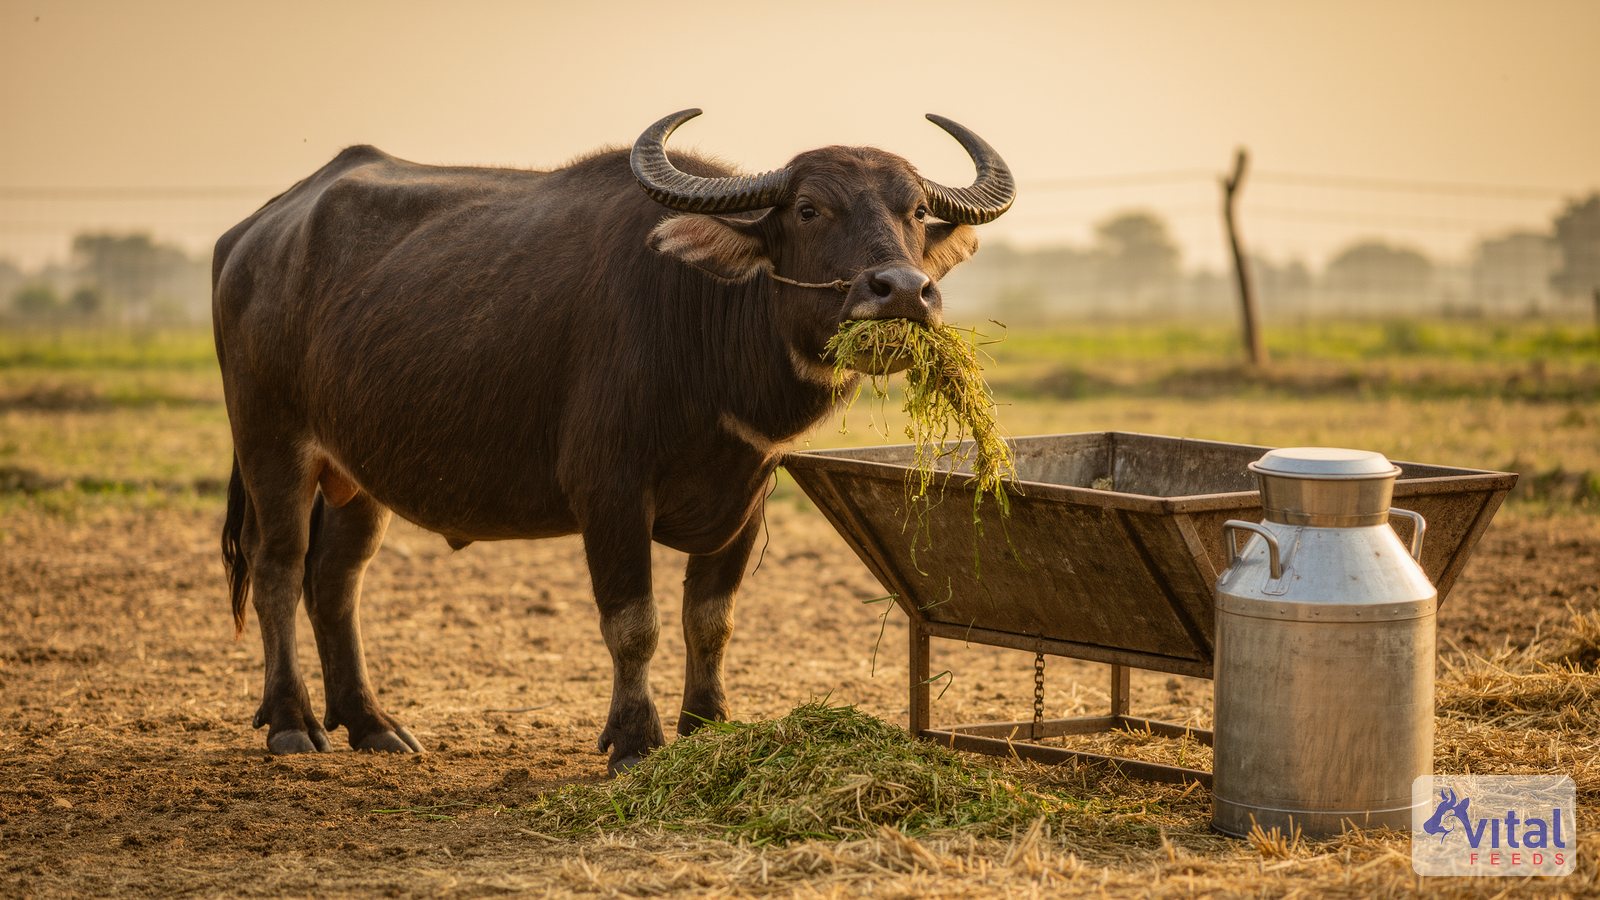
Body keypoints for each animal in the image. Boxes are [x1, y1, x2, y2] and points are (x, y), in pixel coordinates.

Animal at [213, 109, 1014, 772]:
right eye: (810, 208)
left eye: (915, 210)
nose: (903, 291)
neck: (705, 330)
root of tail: (253, 236)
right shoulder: (610, 494)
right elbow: (634, 625)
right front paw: (634, 741)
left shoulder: (748, 500)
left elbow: (710, 622)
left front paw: (709, 728)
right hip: (271, 442)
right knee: (278, 566)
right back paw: (292, 723)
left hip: (357, 474)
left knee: (336, 578)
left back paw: (372, 724)